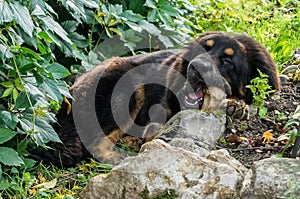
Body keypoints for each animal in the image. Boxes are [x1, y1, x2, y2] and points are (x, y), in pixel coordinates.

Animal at [31, 31, 280, 166]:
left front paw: (235, 106)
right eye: (203, 49)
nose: (196, 67)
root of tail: (67, 96)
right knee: (97, 143)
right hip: (125, 80)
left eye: (228, 62)